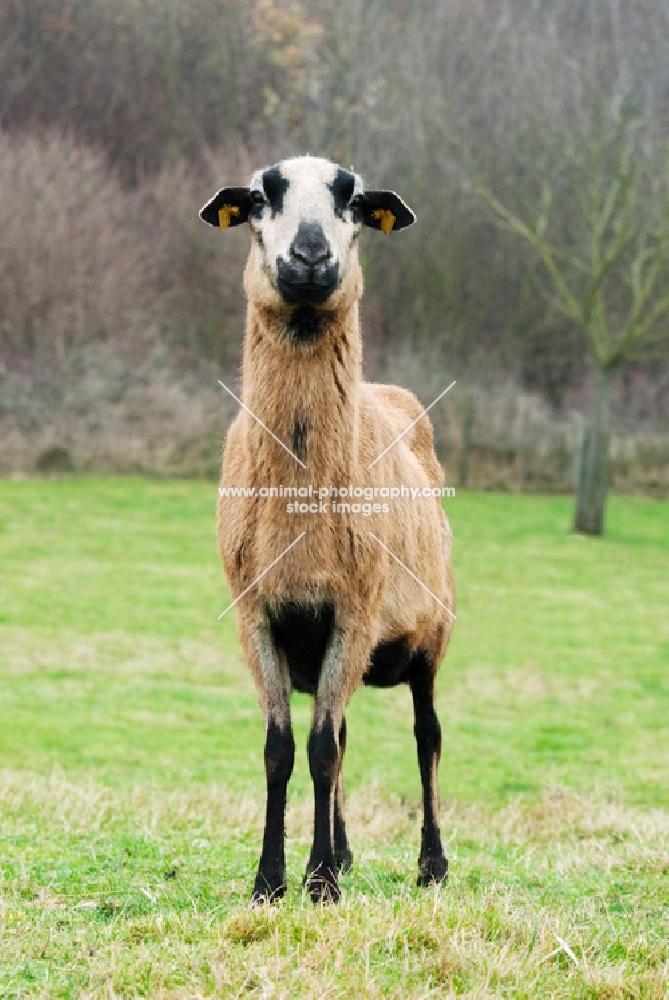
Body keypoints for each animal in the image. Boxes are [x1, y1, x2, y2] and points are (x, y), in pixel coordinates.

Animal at [198, 158, 454, 908]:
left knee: (426, 734)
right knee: (341, 734)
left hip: (429, 635)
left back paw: (432, 863)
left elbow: (318, 751)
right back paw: (342, 850)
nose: (310, 256)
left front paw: (317, 884)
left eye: (353, 200)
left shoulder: (353, 608)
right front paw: (270, 880)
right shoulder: (256, 613)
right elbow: (284, 750)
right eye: (261, 196)